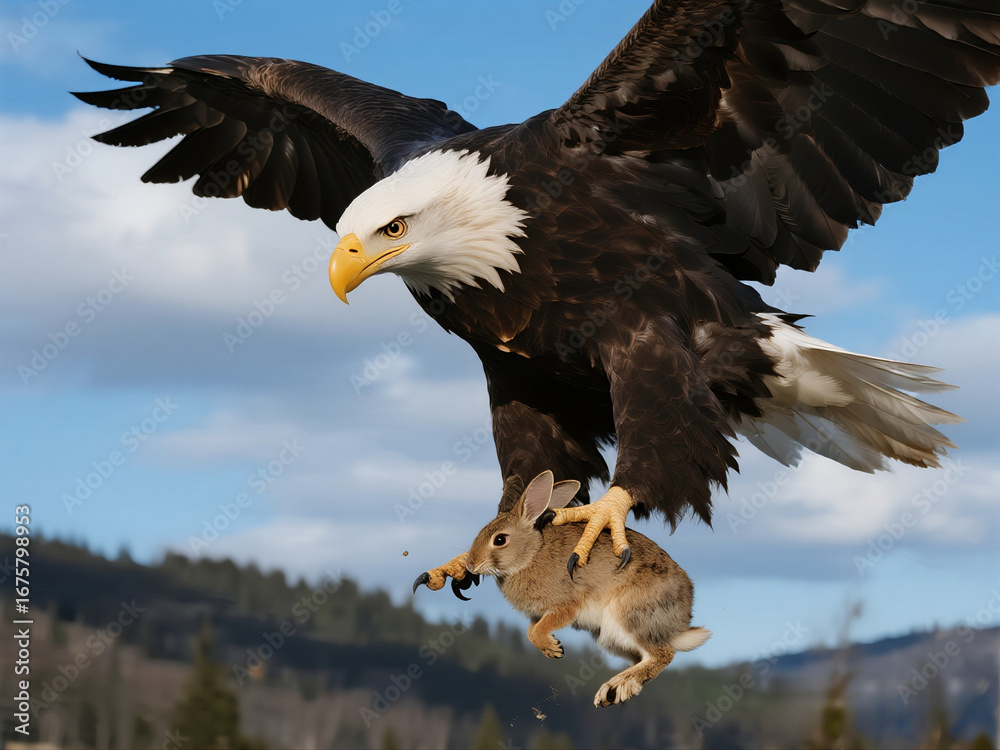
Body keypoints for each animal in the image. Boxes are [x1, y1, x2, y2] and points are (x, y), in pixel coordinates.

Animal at [465, 470, 711, 708]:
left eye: (499, 540)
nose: (471, 565)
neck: (530, 554)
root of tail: (678, 625)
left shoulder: (566, 604)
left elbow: (542, 628)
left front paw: (553, 648)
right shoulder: (538, 614)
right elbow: (530, 633)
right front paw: (552, 648)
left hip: (627, 616)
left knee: (662, 655)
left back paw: (620, 684)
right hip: (610, 636)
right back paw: (613, 688)